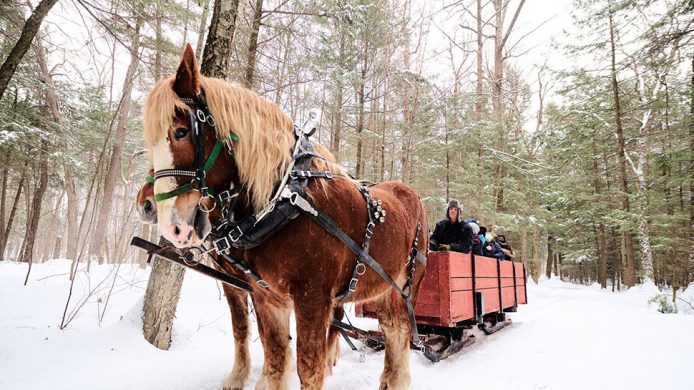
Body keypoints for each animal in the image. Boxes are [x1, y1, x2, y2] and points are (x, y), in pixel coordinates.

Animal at [143, 44, 430, 388]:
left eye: (181, 131)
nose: (168, 223)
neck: (285, 202)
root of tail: (410, 193)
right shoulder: (266, 296)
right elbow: (274, 357)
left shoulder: (312, 298)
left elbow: (308, 367)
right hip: (383, 289)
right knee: (388, 330)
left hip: (405, 286)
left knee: (398, 331)